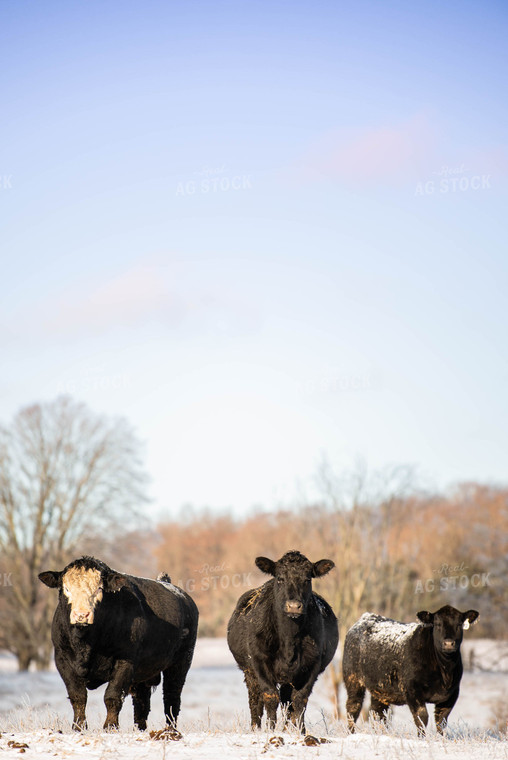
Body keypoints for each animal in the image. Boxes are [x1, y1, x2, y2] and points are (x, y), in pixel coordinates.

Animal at [38, 560, 197, 732]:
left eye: (99, 588)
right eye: (66, 588)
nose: (82, 615)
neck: (86, 644)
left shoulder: (125, 661)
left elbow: (112, 696)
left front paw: (110, 727)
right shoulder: (62, 660)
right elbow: (78, 696)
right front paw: (79, 727)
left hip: (180, 663)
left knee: (171, 698)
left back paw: (170, 730)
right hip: (143, 673)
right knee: (142, 703)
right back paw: (139, 729)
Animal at [226, 548, 338, 732]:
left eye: (307, 579)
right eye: (280, 578)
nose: (293, 606)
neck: (289, 641)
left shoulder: (312, 665)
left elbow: (300, 700)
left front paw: (300, 731)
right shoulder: (259, 662)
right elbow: (270, 697)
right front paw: (270, 730)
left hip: (288, 678)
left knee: (287, 702)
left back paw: (287, 728)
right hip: (249, 672)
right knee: (256, 701)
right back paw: (255, 728)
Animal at [342, 604, 480, 732]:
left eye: (459, 624)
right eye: (437, 624)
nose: (448, 643)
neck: (445, 672)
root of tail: (366, 617)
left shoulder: (452, 694)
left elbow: (441, 721)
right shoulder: (412, 690)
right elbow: (422, 718)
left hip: (380, 687)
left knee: (378, 713)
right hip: (353, 679)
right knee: (353, 707)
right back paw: (351, 733)